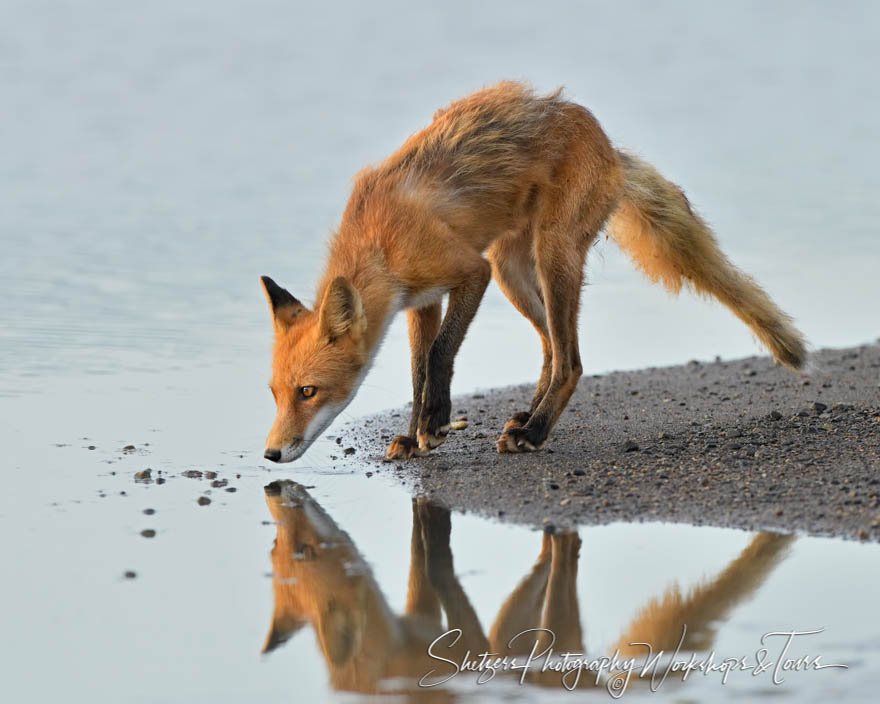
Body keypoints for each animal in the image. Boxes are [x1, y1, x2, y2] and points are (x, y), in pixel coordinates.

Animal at [260, 81, 804, 462]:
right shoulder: (423, 300)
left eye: (308, 392)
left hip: (549, 255)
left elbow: (438, 355)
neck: (379, 241)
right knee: (552, 348)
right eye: (275, 394)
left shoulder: (469, 272)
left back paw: (535, 431)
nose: (270, 453)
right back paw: (528, 414)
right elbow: (417, 371)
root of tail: (606, 141)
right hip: (513, 270)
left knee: (572, 361)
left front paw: (435, 423)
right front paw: (414, 435)